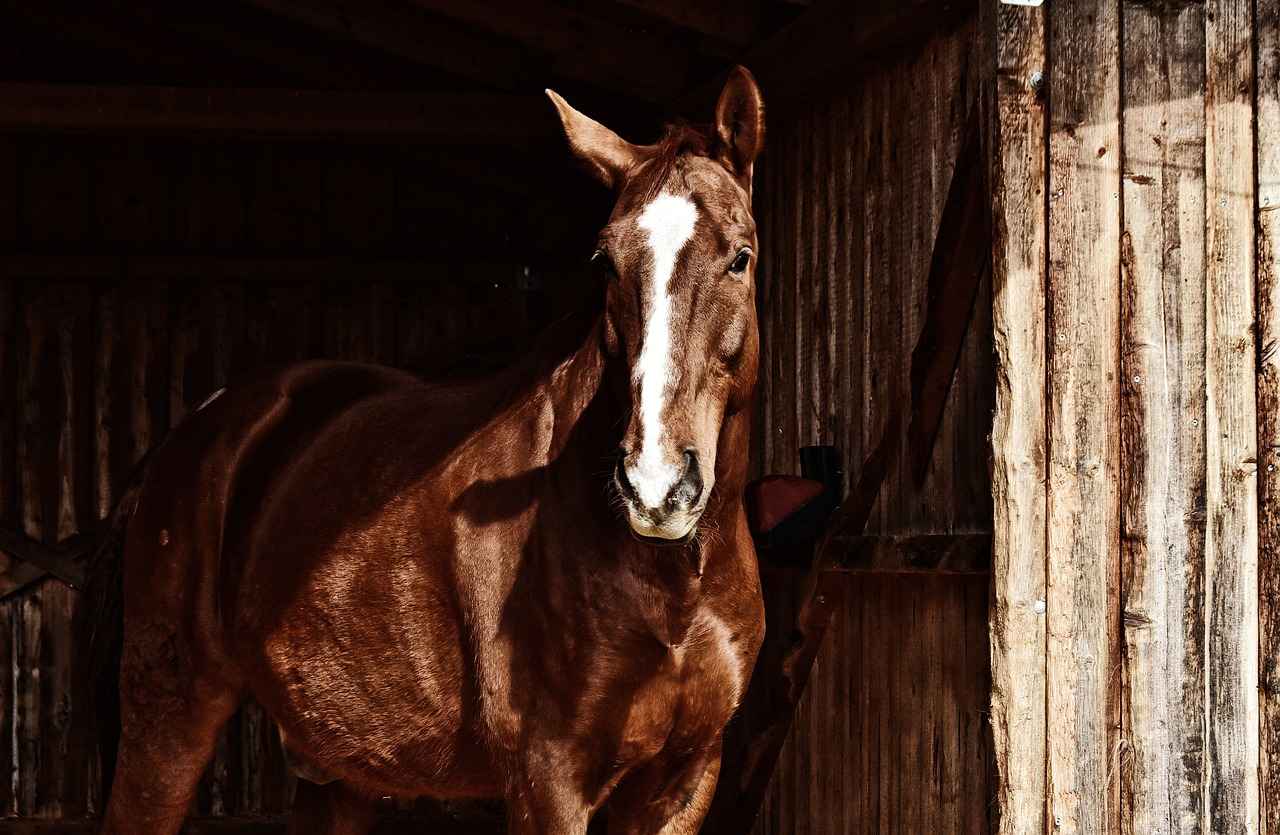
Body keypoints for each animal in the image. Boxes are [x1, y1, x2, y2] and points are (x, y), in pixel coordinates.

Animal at [92, 66, 767, 835]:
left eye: (739, 257)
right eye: (606, 261)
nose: (654, 486)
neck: (670, 587)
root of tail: (194, 432)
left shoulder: (684, 779)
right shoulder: (549, 780)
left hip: (337, 771)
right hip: (168, 724)